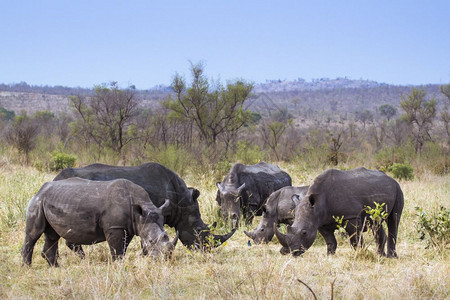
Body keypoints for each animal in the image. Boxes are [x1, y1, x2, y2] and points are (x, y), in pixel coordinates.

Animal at [21, 177, 178, 266]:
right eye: (150, 241)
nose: (165, 259)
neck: (141, 209)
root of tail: (40, 189)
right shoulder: (115, 227)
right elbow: (117, 249)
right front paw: (117, 267)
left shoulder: (128, 227)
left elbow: (123, 248)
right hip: (37, 202)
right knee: (34, 234)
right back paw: (27, 268)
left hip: (49, 201)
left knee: (52, 235)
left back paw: (56, 268)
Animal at [274, 168, 404, 256]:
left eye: (304, 233)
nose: (290, 252)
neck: (317, 206)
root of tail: (390, 178)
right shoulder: (321, 221)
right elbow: (330, 241)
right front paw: (329, 256)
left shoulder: (351, 216)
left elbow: (355, 240)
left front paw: (360, 254)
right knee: (376, 223)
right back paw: (380, 256)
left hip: (398, 189)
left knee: (394, 219)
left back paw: (391, 257)